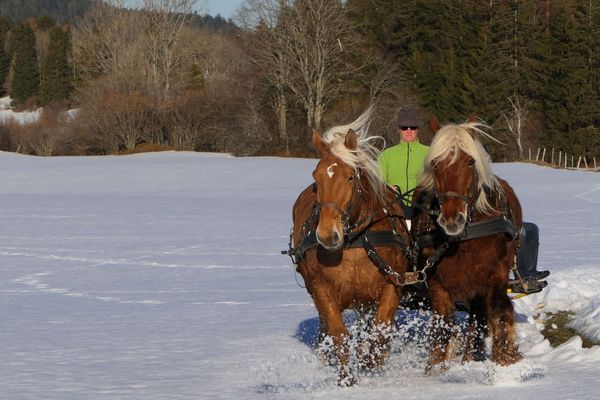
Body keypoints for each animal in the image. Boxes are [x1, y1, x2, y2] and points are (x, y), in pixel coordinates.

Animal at [288, 108, 410, 386]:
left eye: (351, 176)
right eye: (316, 177)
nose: (327, 235)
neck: (354, 242)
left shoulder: (392, 283)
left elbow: (380, 330)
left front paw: (371, 363)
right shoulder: (322, 289)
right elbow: (339, 334)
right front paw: (346, 378)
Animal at [412, 122, 524, 372]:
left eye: (470, 162)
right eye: (436, 163)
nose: (452, 219)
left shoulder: (494, 274)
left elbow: (500, 311)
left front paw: (505, 359)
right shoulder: (437, 282)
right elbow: (442, 326)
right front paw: (435, 369)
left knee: (479, 319)